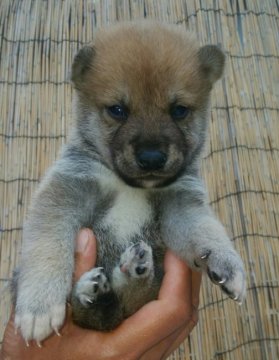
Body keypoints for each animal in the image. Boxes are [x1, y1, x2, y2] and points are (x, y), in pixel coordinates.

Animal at [14, 21, 246, 344]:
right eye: (117, 110)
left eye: (179, 110)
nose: (151, 158)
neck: (130, 187)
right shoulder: (67, 188)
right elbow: (46, 246)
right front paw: (39, 305)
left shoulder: (181, 203)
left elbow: (207, 231)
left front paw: (226, 261)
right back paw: (95, 291)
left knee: (129, 300)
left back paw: (129, 274)